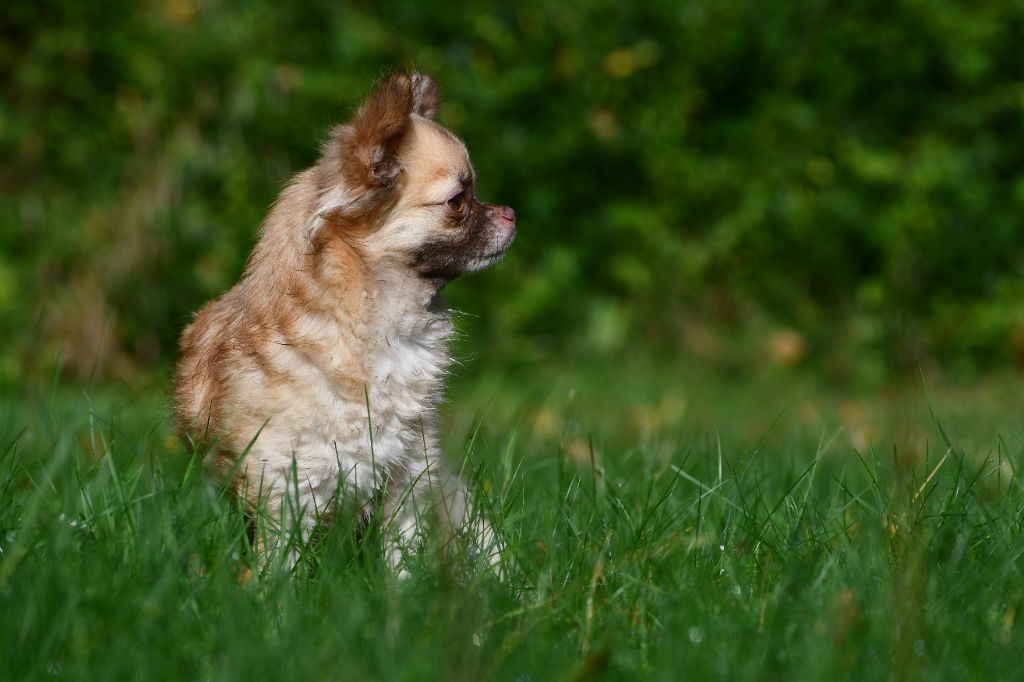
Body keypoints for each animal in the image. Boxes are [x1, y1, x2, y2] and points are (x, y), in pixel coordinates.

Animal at [175, 71, 516, 569]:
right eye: (458, 201)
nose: (511, 212)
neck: (375, 335)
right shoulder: (290, 490)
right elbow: (280, 568)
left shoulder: (410, 475)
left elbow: (402, 557)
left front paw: (404, 589)